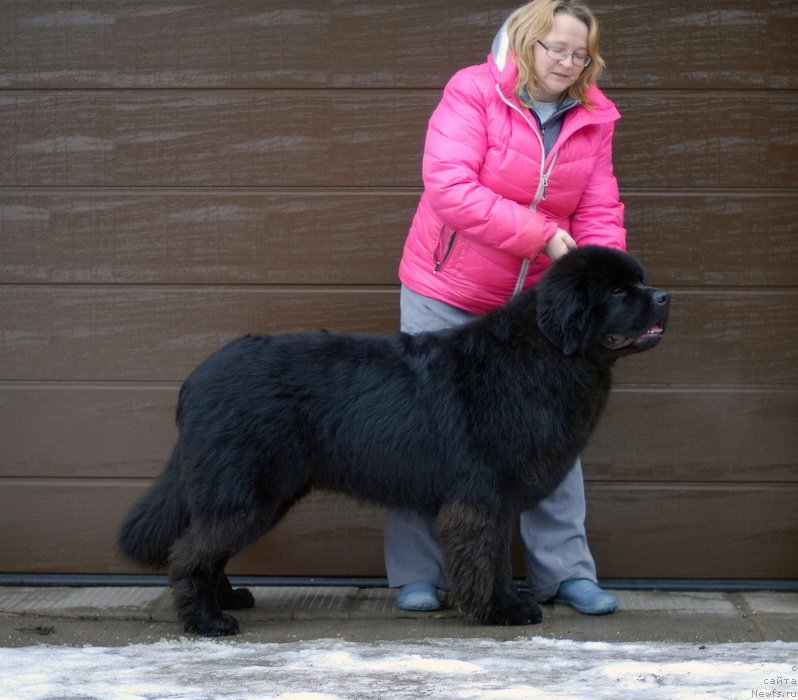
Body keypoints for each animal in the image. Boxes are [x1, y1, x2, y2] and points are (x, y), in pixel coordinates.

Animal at [117, 249, 668, 636]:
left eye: (639, 282)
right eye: (618, 292)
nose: (665, 296)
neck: (542, 354)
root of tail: (197, 378)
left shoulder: (494, 496)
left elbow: (490, 556)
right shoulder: (482, 495)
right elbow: (486, 556)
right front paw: (501, 610)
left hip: (250, 492)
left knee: (207, 548)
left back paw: (227, 600)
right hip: (248, 490)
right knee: (191, 552)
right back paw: (207, 622)